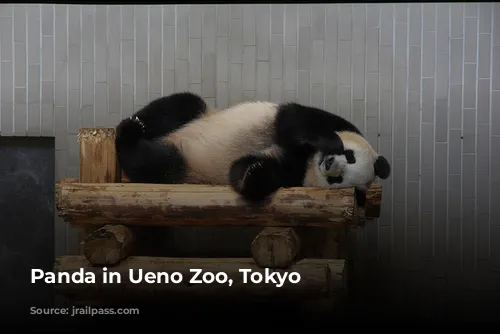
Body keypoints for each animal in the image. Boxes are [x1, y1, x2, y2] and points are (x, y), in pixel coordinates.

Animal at [115, 92, 392, 207]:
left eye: (338, 180)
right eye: (349, 156)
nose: (330, 164)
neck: (308, 159)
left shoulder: (293, 173)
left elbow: (242, 169)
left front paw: (255, 173)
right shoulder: (333, 122)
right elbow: (294, 120)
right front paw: (331, 141)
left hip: (185, 167)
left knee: (155, 162)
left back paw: (130, 138)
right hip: (198, 113)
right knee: (178, 105)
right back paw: (133, 124)